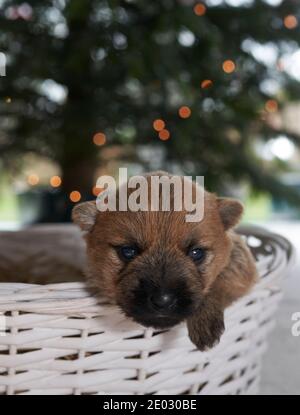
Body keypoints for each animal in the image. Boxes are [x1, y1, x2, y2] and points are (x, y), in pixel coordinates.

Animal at [71, 172, 256, 352]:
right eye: (128, 251)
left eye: (197, 253)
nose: (163, 301)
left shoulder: (241, 260)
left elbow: (219, 280)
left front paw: (205, 323)